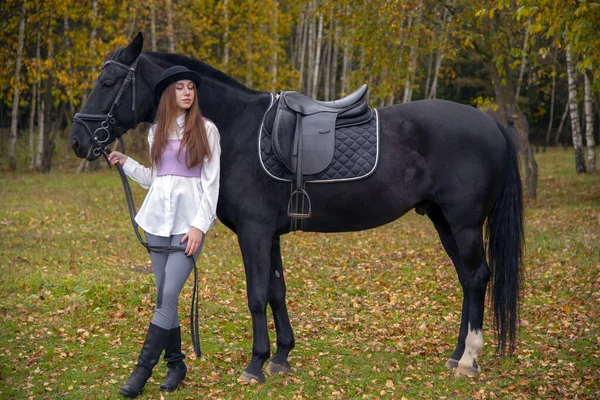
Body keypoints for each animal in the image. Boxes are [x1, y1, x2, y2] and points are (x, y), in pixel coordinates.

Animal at [69, 34, 520, 382]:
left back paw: (469, 359)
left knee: (477, 277)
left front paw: (255, 364)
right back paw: (457, 355)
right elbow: (276, 291)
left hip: (463, 223)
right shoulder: (268, 233)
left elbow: (255, 294)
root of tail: (492, 123)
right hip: (443, 221)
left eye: (108, 80)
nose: (78, 139)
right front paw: (282, 356)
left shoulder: (253, 231)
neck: (236, 129)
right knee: (467, 280)